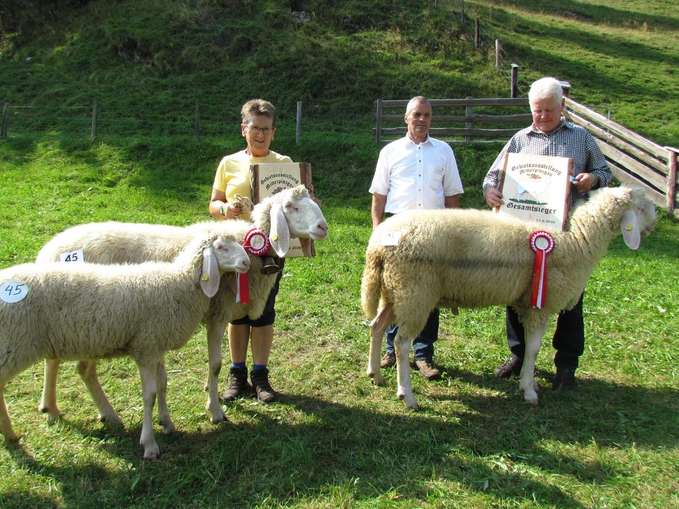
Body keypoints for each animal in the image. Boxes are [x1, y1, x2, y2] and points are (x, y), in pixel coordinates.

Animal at [0, 233, 250, 456]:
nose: (247, 262)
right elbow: (149, 395)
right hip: (14, 345)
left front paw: (166, 422)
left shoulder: (155, 344)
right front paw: (149, 444)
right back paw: (12, 433)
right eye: (221, 247)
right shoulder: (146, 348)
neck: (179, 282)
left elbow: (163, 384)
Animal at [37, 185, 330, 422]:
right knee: (79, 368)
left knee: (53, 359)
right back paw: (102, 413)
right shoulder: (217, 314)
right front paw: (214, 409)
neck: (252, 250)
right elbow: (216, 364)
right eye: (291, 206)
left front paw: (210, 391)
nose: (323, 227)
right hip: (90, 326)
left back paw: (50, 406)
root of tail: (49, 250)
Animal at [364, 187, 656, 408]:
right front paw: (529, 390)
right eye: (642, 207)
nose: (655, 225)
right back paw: (407, 395)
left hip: (394, 292)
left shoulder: (526, 302)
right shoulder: (540, 307)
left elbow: (526, 346)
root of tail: (378, 243)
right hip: (415, 294)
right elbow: (535, 348)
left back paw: (375, 374)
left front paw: (526, 380)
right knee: (401, 343)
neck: (576, 242)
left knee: (377, 327)